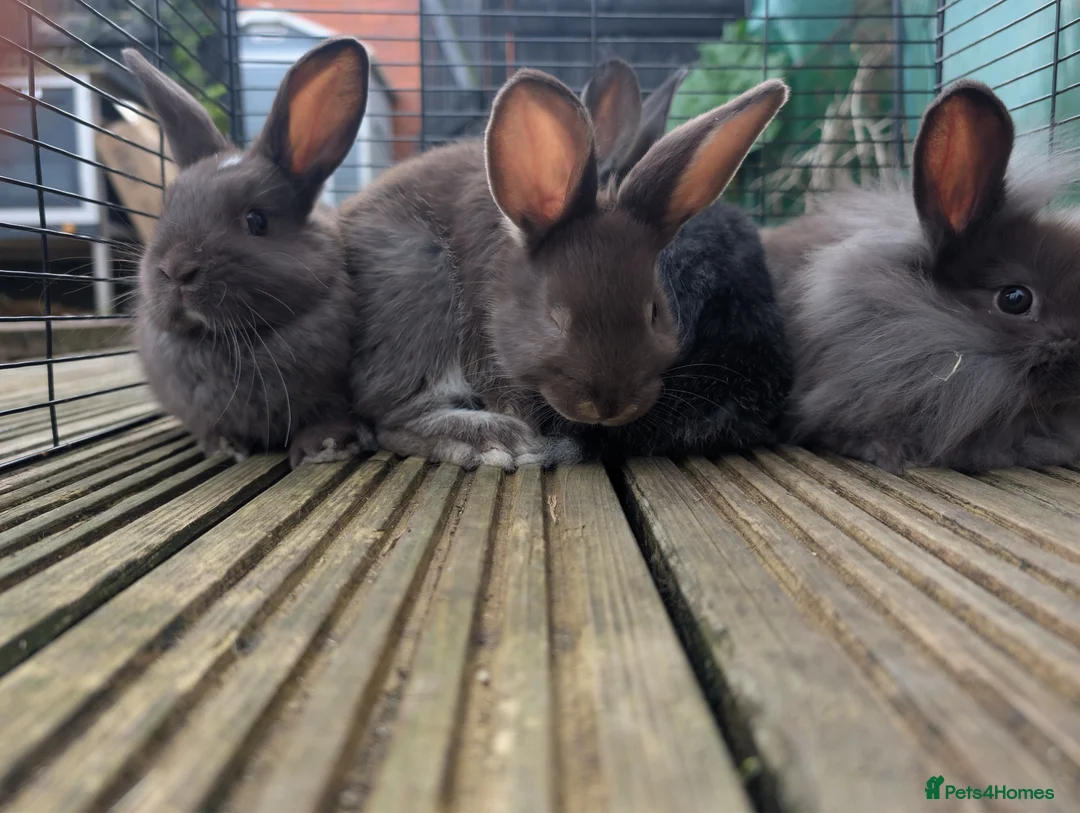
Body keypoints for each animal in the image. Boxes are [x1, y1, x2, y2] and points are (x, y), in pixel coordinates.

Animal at [123, 38, 376, 469]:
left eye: (256, 221)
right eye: (165, 210)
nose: (176, 270)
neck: (224, 341)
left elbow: (328, 417)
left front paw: (323, 448)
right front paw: (225, 447)